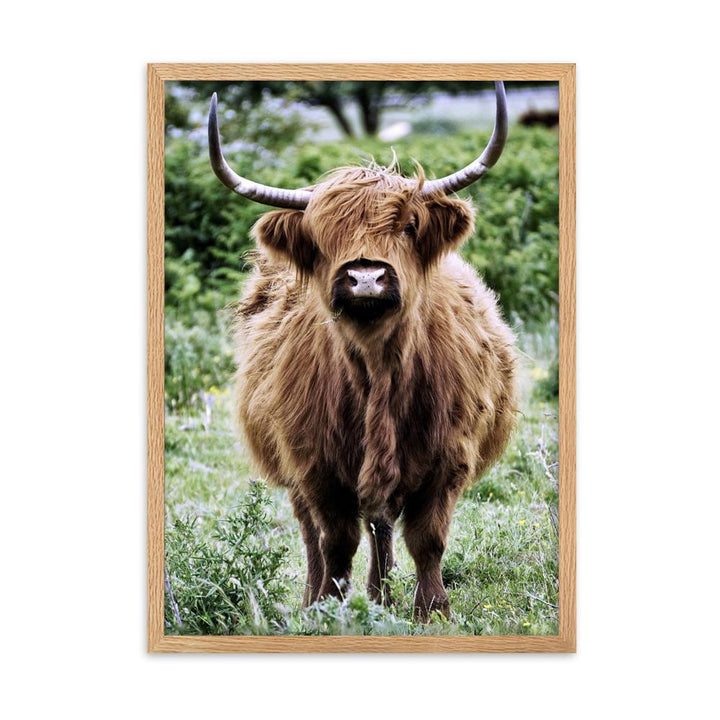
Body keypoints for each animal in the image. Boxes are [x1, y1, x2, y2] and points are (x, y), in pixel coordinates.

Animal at [208, 82, 518, 621]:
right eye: (321, 235)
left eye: (409, 226)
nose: (366, 277)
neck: (378, 370)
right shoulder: (314, 464)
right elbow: (335, 539)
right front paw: (329, 606)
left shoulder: (449, 458)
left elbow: (427, 538)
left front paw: (431, 610)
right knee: (317, 532)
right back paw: (324, 596)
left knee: (382, 522)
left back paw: (381, 594)